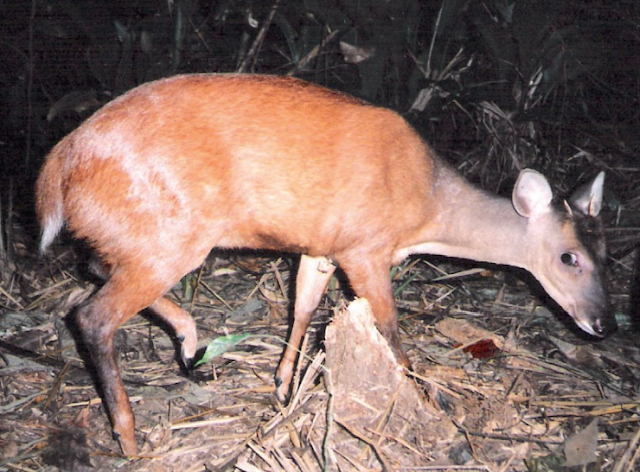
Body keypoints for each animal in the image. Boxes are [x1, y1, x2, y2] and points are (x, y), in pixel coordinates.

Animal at [35, 74, 616, 454]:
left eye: (607, 253)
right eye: (568, 258)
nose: (604, 323)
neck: (429, 207)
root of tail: (55, 171)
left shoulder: (321, 246)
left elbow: (304, 309)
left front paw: (283, 388)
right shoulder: (365, 246)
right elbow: (388, 327)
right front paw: (426, 403)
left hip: (139, 234)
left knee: (94, 269)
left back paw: (188, 339)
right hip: (174, 232)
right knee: (93, 315)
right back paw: (131, 437)